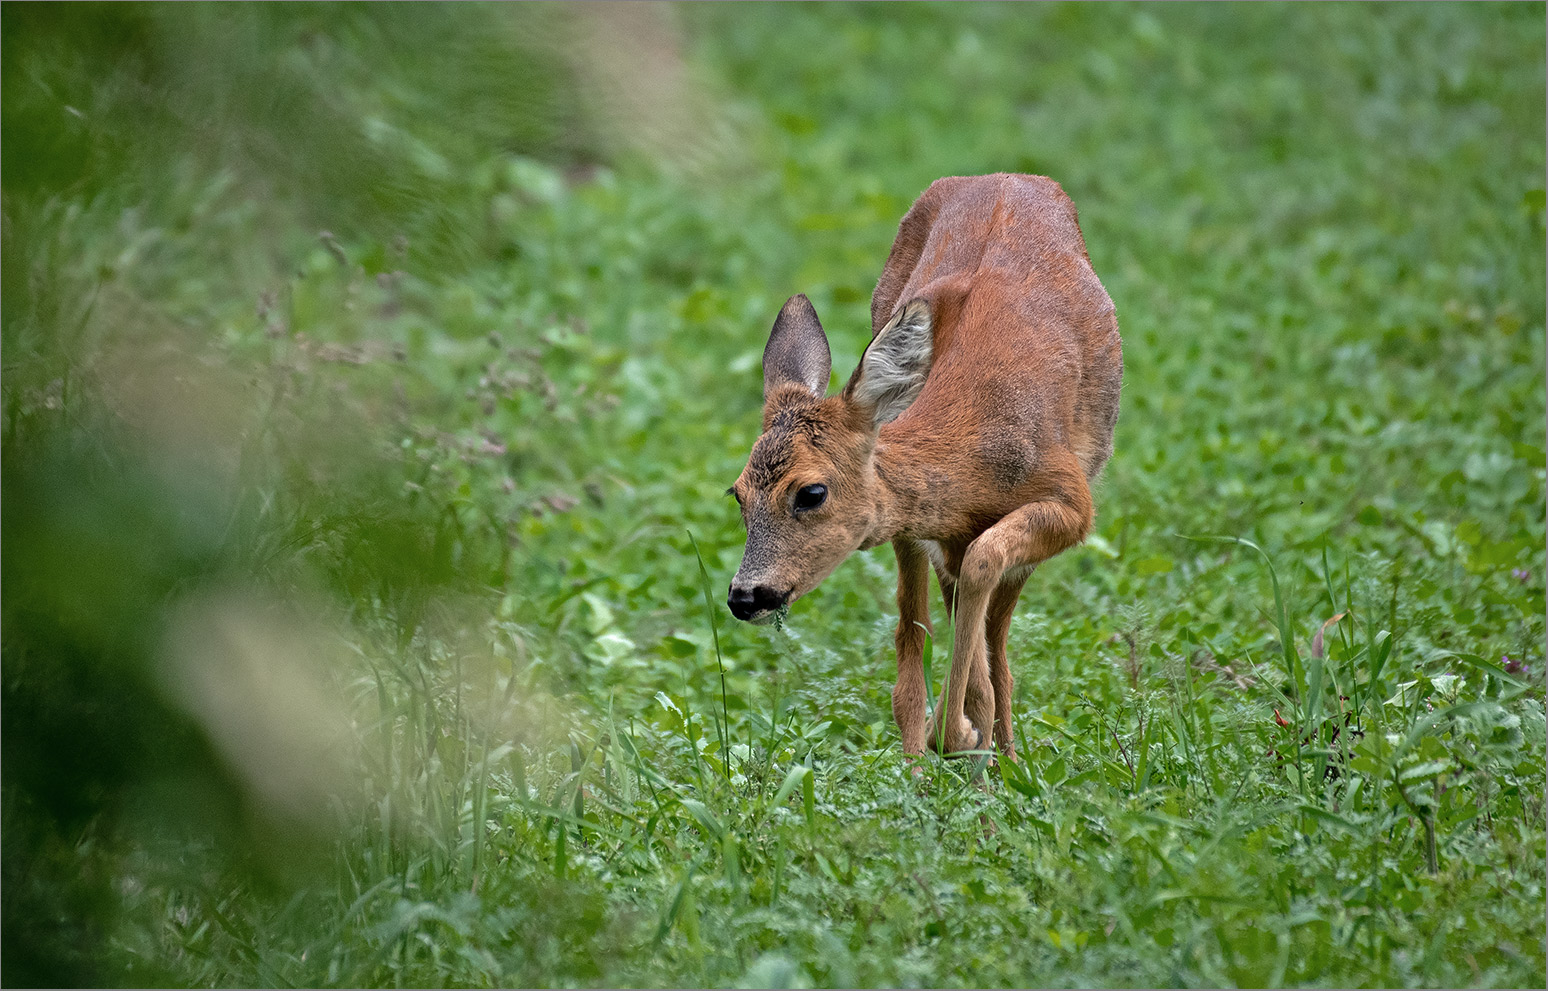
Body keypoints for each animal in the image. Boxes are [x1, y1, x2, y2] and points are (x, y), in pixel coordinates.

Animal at [730, 174, 1120, 755]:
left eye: (811, 492)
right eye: (737, 494)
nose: (746, 595)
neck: (976, 461)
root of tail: (1006, 176)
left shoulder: (1072, 501)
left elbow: (985, 568)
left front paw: (961, 734)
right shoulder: (928, 535)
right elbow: (930, 646)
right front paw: (951, 739)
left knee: (997, 643)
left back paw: (1002, 753)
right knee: (922, 643)